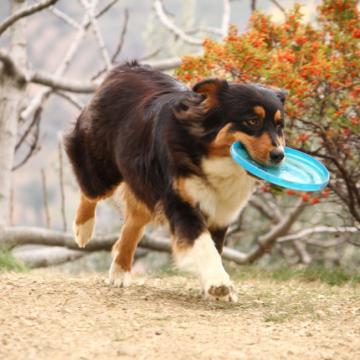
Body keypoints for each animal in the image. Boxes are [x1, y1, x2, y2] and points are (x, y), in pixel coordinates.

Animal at [63, 61, 286, 300]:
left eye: (279, 126)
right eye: (252, 121)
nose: (279, 155)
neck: (208, 155)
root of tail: (126, 68)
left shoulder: (221, 212)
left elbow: (214, 246)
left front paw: (212, 288)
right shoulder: (180, 200)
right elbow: (203, 244)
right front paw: (218, 282)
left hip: (144, 185)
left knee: (133, 224)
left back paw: (120, 271)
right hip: (103, 166)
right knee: (90, 191)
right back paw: (83, 230)